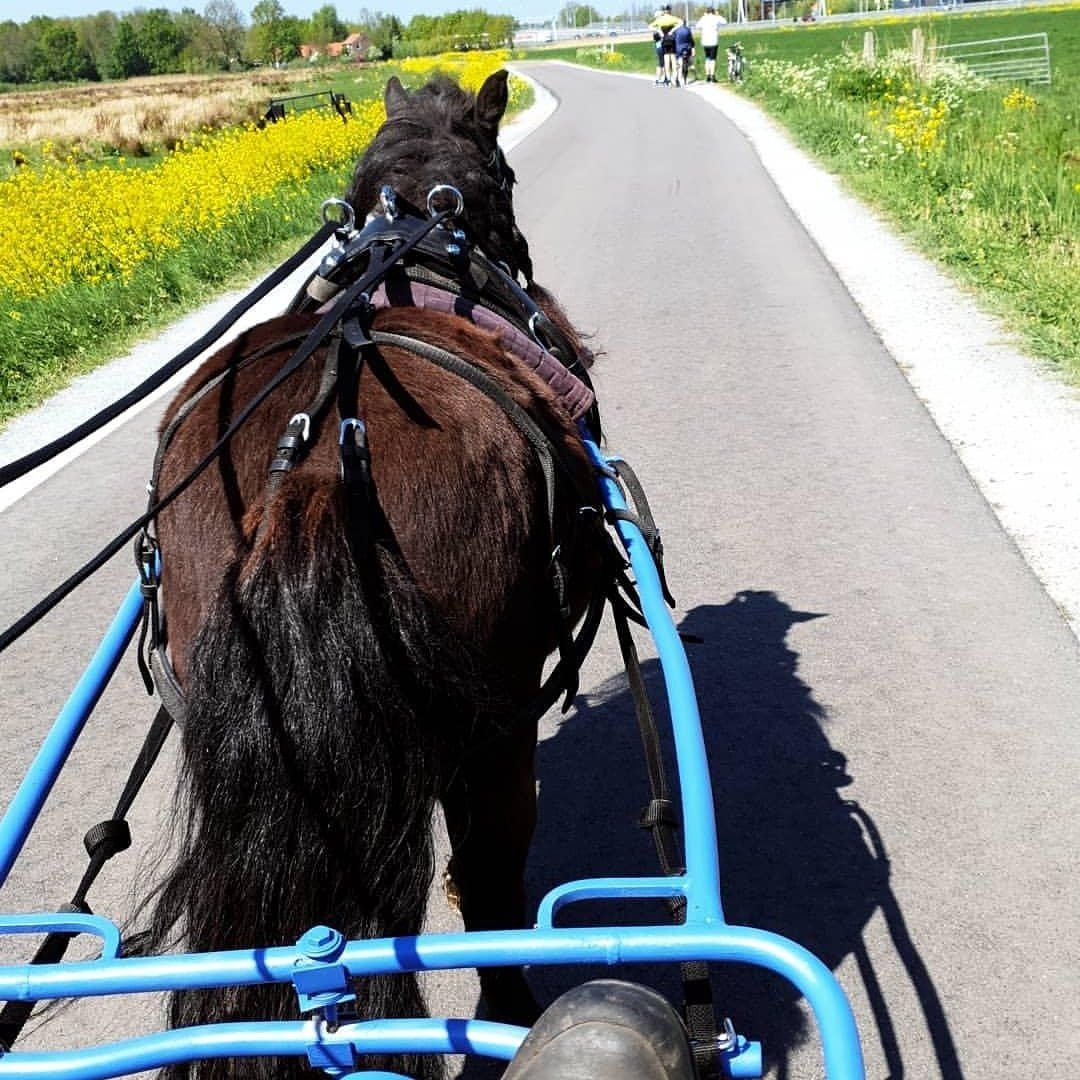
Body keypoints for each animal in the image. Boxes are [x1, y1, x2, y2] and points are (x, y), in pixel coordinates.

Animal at [142, 70, 604, 1080]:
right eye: (508, 176)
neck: (417, 241)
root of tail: (317, 467)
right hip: (494, 723)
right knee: (491, 872)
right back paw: (507, 1012)